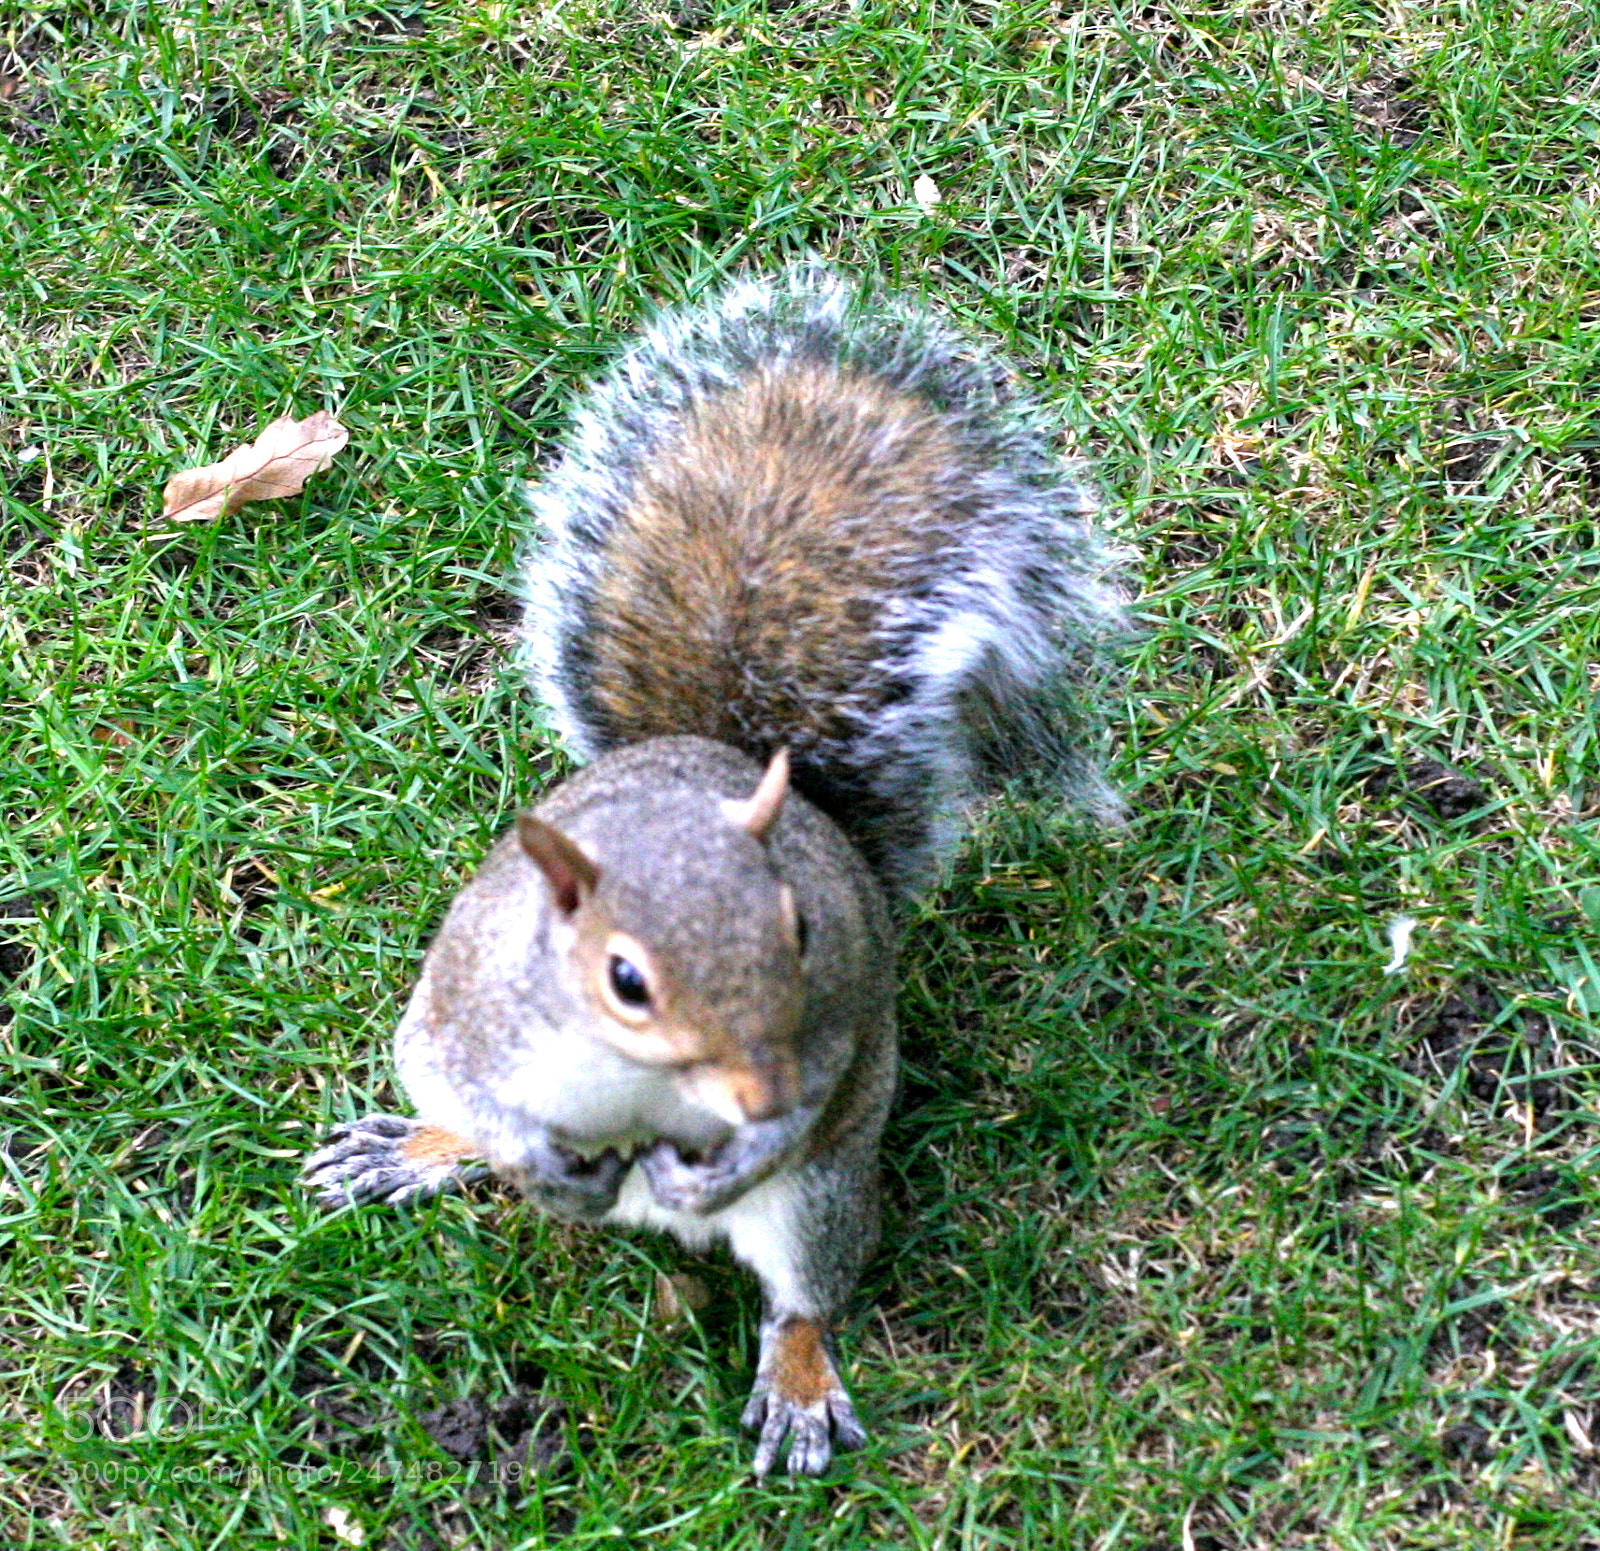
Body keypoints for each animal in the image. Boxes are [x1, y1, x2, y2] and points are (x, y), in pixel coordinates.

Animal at [301, 269, 1125, 1478]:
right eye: (624, 979)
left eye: (799, 931)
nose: (753, 1093)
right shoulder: (471, 1003)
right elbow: (449, 1071)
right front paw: (522, 1155)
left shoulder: (824, 1032)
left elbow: (808, 1101)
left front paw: (734, 1157)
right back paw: (417, 1151)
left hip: (822, 1197)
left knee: (808, 1293)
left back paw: (796, 1382)